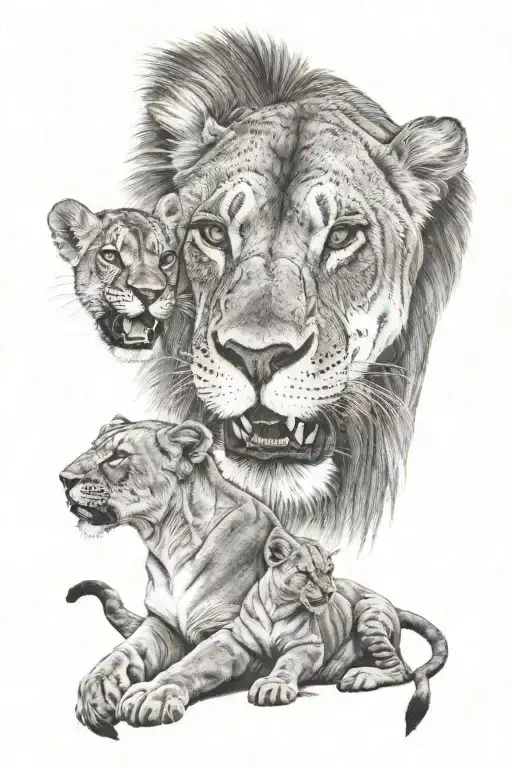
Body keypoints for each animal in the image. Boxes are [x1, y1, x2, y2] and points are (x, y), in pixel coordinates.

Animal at [70, 529, 447, 737]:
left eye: (329, 571)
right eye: (307, 573)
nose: (329, 592)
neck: (279, 607)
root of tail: (391, 602)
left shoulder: (308, 646)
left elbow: (286, 664)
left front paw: (273, 686)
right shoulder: (234, 643)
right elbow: (192, 665)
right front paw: (151, 694)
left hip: (369, 614)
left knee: (403, 669)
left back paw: (361, 676)